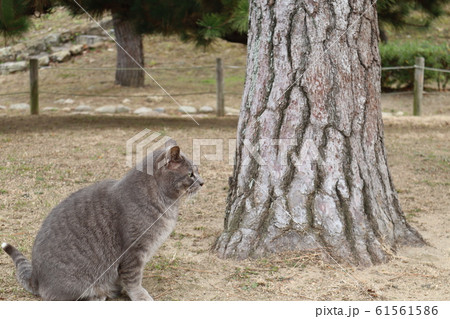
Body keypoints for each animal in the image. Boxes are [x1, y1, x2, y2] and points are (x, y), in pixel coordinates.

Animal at [0, 144, 203, 302]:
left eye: (197, 172)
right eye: (191, 174)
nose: (202, 182)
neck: (167, 204)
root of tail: (35, 277)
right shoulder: (134, 252)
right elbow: (133, 280)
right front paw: (140, 296)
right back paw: (98, 295)